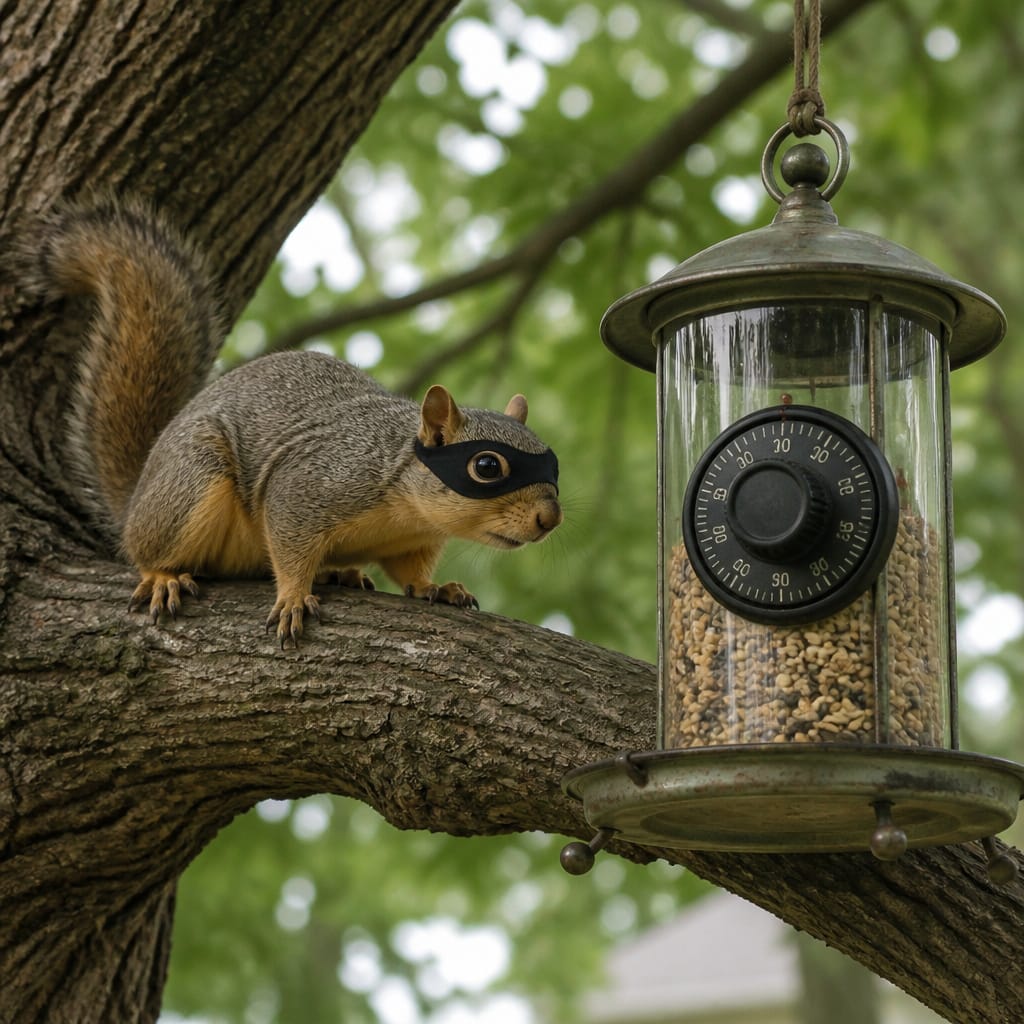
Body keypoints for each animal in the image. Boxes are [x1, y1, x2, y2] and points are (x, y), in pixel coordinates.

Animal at [20, 198, 563, 647]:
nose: (550, 520)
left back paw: (342, 573)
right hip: (189, 484)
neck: (406, 505)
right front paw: (294, 597)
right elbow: (289, 544)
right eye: (486, 467)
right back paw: (162, 576)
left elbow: (409, 572)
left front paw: (436, 586)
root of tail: (135, 499)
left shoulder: (414, 539)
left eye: (553, 465)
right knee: (148, 548)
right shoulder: (310, 487)